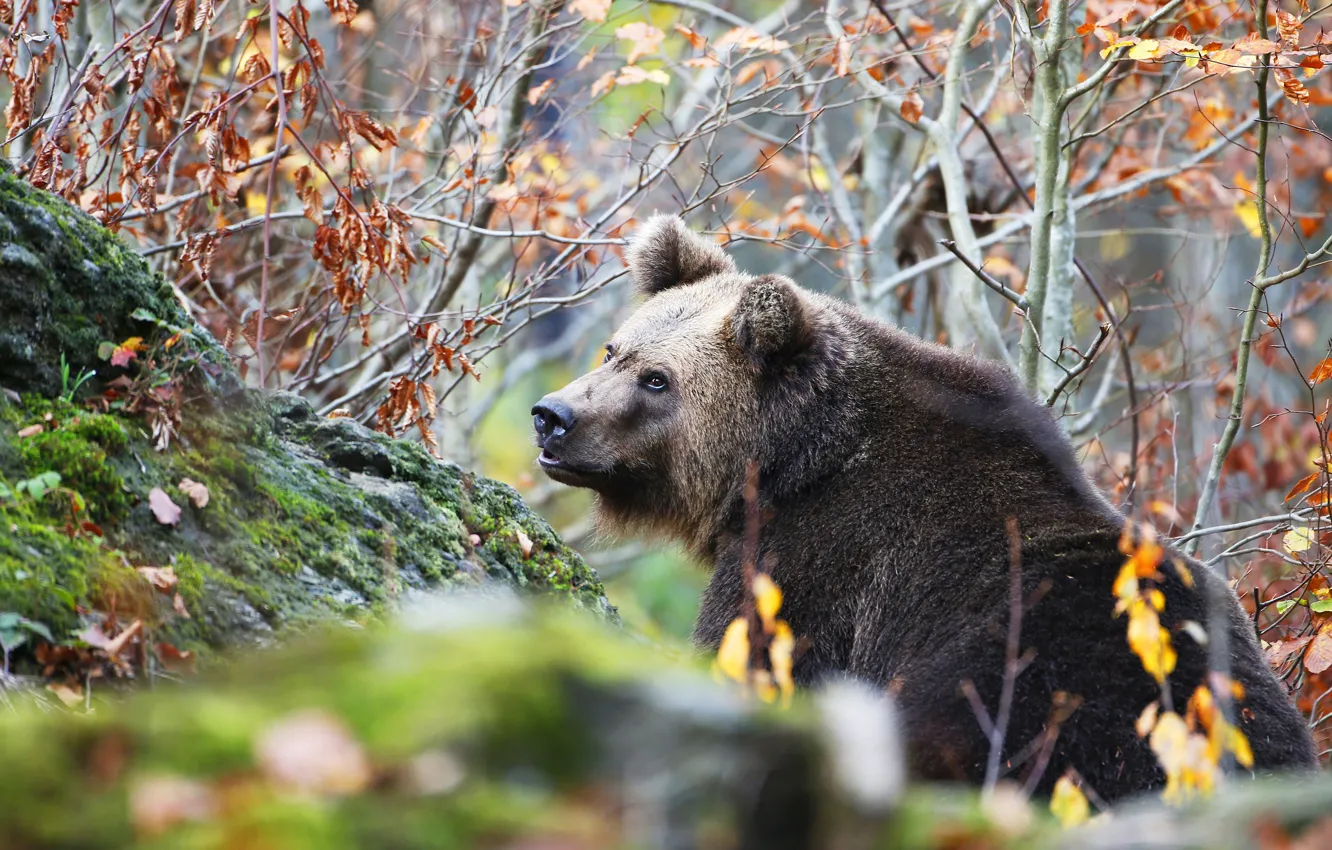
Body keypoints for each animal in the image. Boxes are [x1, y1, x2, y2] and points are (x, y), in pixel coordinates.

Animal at [530, 215, 1318, 801]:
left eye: (658, 380)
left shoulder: (813, 571)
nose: (552, 415)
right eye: (615, 348)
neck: (787, 464)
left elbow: (750, 656)